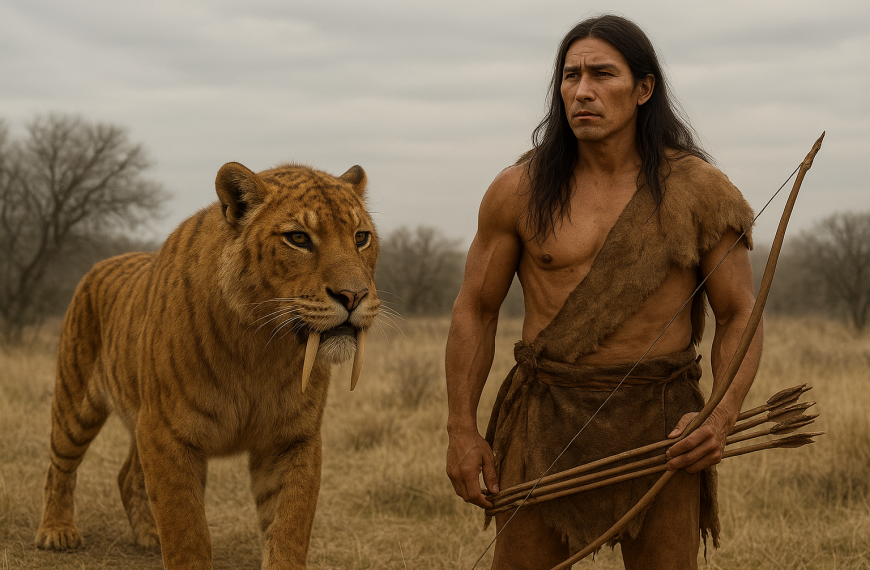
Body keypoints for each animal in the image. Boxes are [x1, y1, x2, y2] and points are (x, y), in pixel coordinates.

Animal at [35, 161, 380, 569]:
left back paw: (148, 535)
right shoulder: (167, 433)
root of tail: (103, 263)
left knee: (127, 475)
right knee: (59, 466)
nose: (354, 295)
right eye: (298, 238)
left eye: (361, 237)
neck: (264, 346)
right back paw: (57, 531)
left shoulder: (293, 437)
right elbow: (187, 532)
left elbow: (289, 526)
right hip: (75, 404)